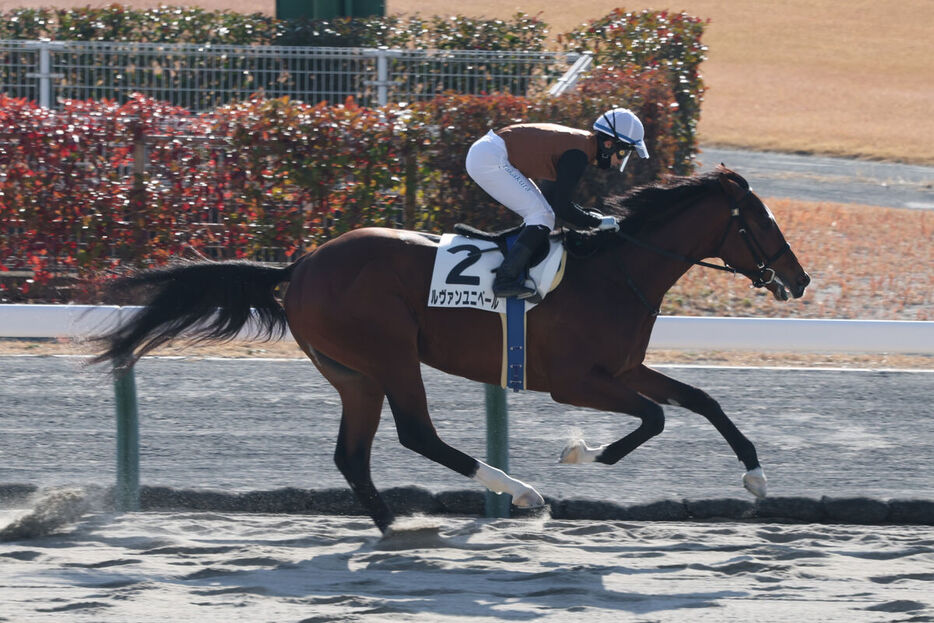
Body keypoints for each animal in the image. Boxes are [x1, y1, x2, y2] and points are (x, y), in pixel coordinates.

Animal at [93, 168, 812, 532]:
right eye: (762, 220)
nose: (800, 278)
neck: (617, 270)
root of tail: (300, 265)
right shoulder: (576, 379)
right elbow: (656, 417)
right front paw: (583, 453)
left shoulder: (625, 367)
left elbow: (702, 399)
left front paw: (756, 475)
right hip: (389, 353)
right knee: (417, 434)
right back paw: (520, 492)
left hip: (354, 373)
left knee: (353, 454)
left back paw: (397, 527)